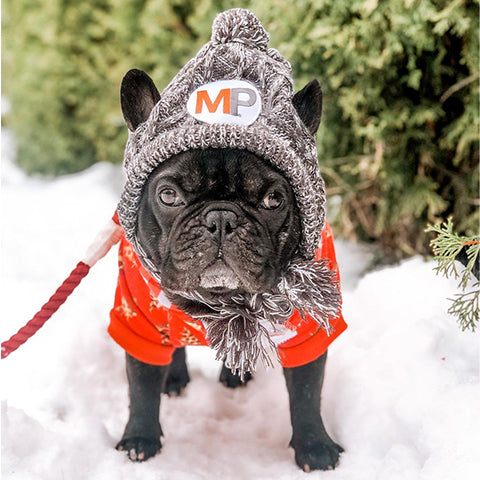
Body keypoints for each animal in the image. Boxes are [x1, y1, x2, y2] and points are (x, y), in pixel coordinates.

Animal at [109, 8, 344, 472]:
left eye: (273, 199)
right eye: (168, 195)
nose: (220, 218)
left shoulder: (311, 328)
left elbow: (307, 392)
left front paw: (315, 446)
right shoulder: (137, 320)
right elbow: (140, 385)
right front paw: (140, 439)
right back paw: (176, 377)